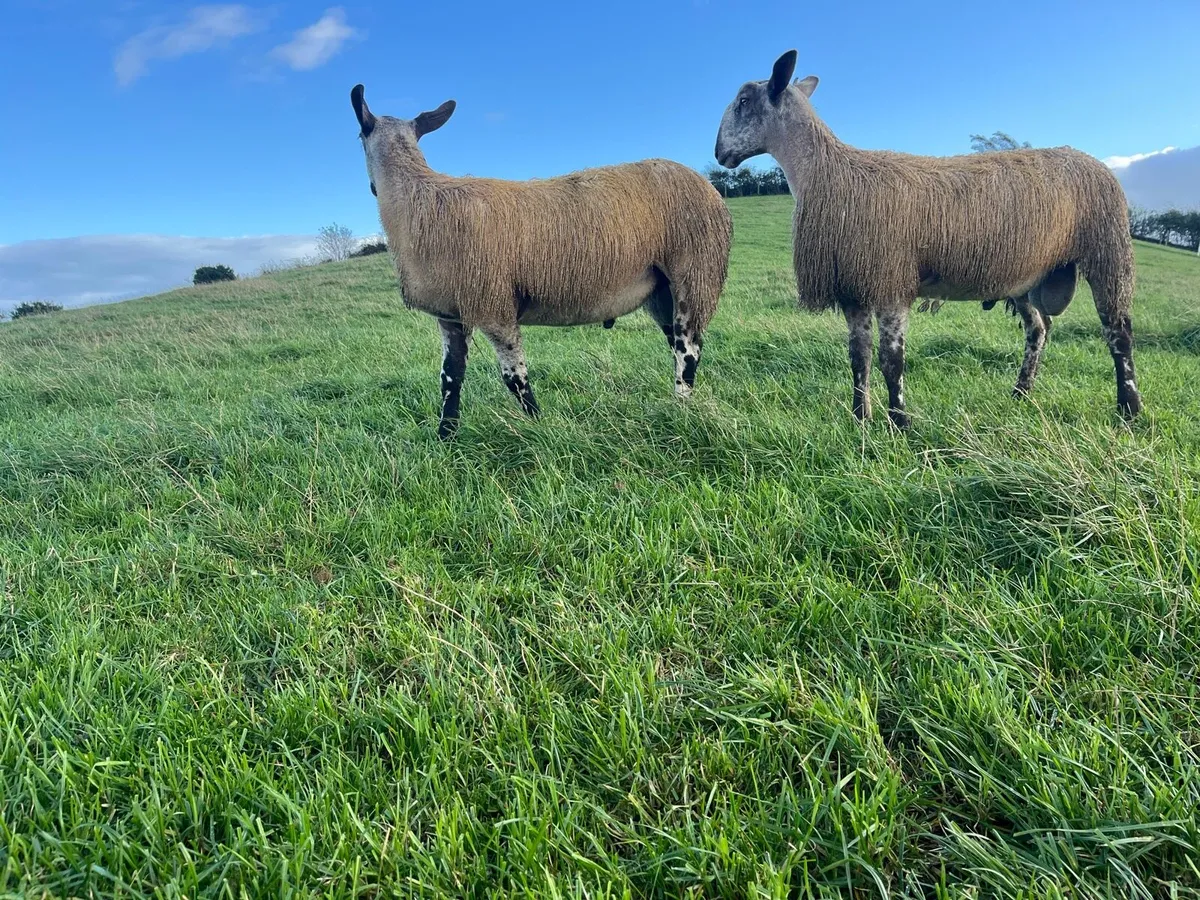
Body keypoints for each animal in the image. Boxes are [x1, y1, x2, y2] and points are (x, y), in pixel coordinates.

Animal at [351, 85, 733, 439]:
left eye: (357, 136)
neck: (419, 200)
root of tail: (710, 188)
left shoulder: (494, 307)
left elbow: (515, 378)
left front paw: (539, 427)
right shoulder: (450, 315)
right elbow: (450, 377)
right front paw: (446, 437)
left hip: (695, 272)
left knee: (688, 350)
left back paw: (681, 409)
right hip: (660, 291)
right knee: (678, 344)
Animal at [714, 50, 1142, 428]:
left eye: (743, 100)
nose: (718, 153)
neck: (826, 172)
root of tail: (1095, 161)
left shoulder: (889, 280)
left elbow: (892, 360)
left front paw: (899, 424)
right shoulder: (854, 287)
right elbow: (859, 358)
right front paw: (860, 419)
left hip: (1108, 248)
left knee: (1118, 333)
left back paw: (1129, 409)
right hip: (1027, 277)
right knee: (1039, 329)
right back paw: (1021, 393)